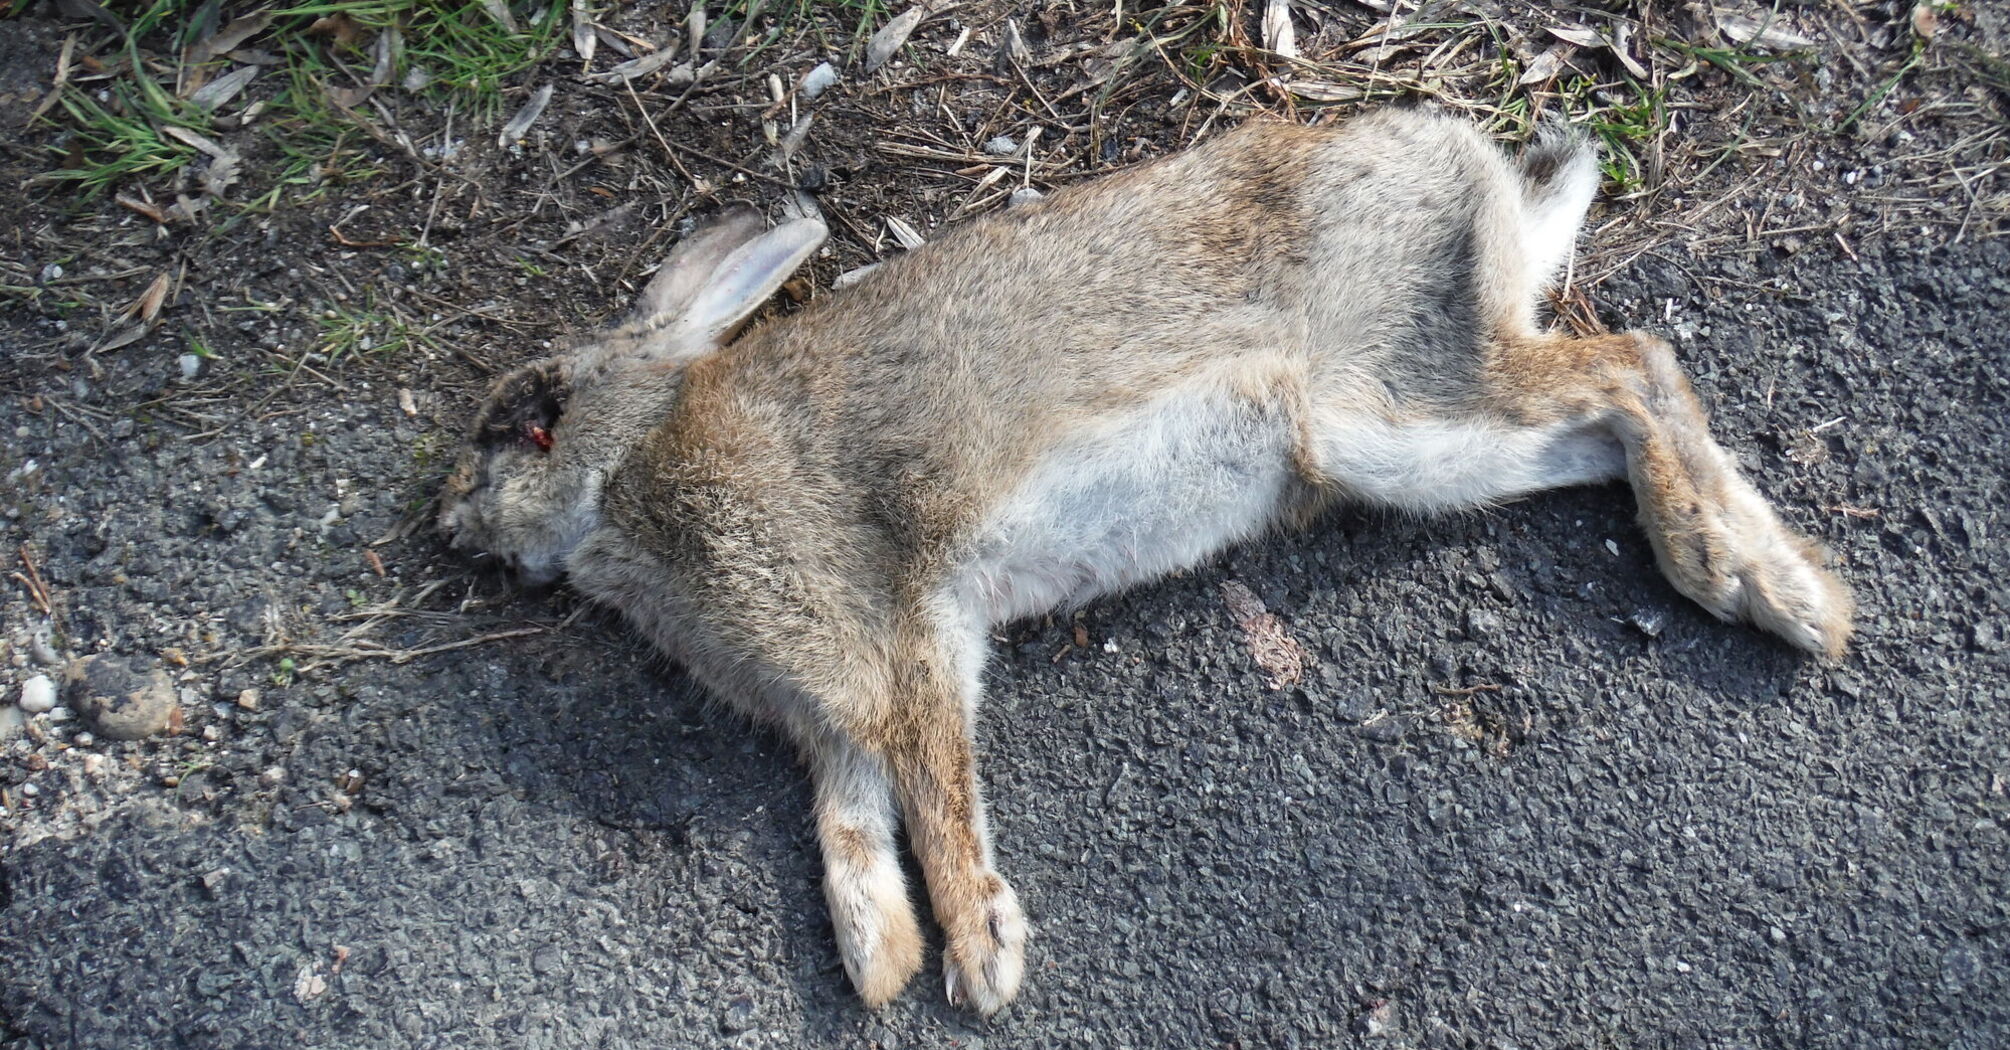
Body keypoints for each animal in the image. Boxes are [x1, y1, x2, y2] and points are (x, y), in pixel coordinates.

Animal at [438, 106, 1853, 1015]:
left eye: (529, 420)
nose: (449, 519)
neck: (633, 464)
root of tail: (1482, 174)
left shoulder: (894, 644)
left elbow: (933, 794)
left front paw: (982, 961)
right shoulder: (835, 709)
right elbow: (847, 823)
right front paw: (878, 962)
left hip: (1385, 399)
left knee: (1634, 366)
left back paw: (1767, 588)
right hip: (1411, 449)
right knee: (1605, 414)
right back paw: (1764, 577)